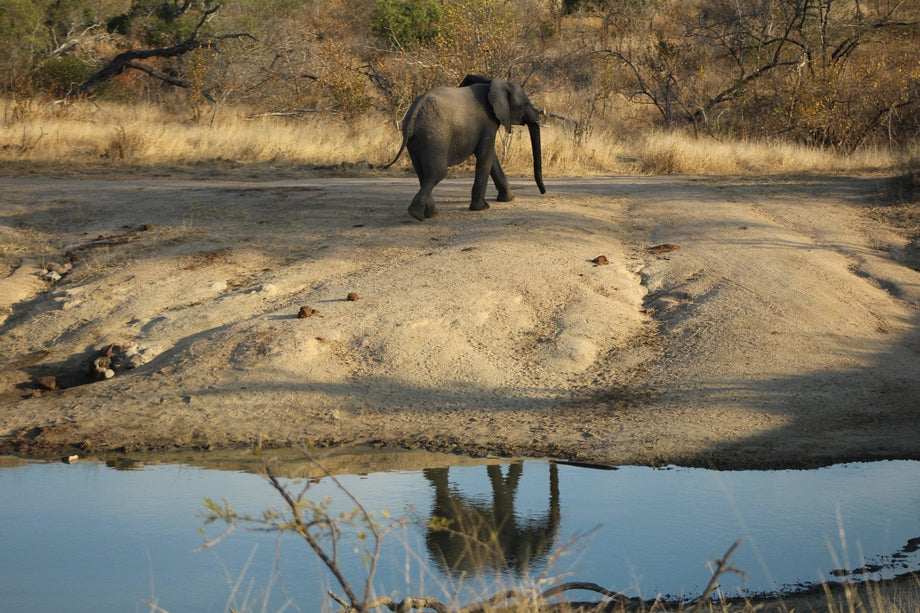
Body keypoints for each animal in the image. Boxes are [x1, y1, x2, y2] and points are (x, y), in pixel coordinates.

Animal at [382, 75, 544, 221]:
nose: (543, 192)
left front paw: (509, 199)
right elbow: (485, 155)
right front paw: (482, 208)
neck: (495, 83)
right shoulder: (488, 122)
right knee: (437, 173)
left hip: (415, 139)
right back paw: (417, 214)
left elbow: (491, 157)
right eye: (525, 104)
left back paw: (430, 214)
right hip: (435, 134)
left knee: (423, 173)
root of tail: (414, 112)